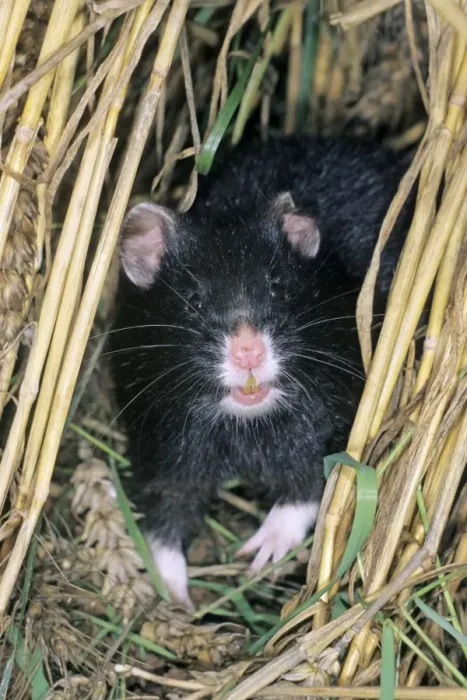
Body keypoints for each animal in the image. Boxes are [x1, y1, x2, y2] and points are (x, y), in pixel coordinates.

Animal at [109, 135, 412, 610]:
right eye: (193, 298)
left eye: (277, 287)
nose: (248, 353)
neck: (244, 425)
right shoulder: (165, 442)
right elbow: (165, 517)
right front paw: (178, 601)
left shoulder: (333, 416)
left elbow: (310, 484)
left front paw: (256, 557)